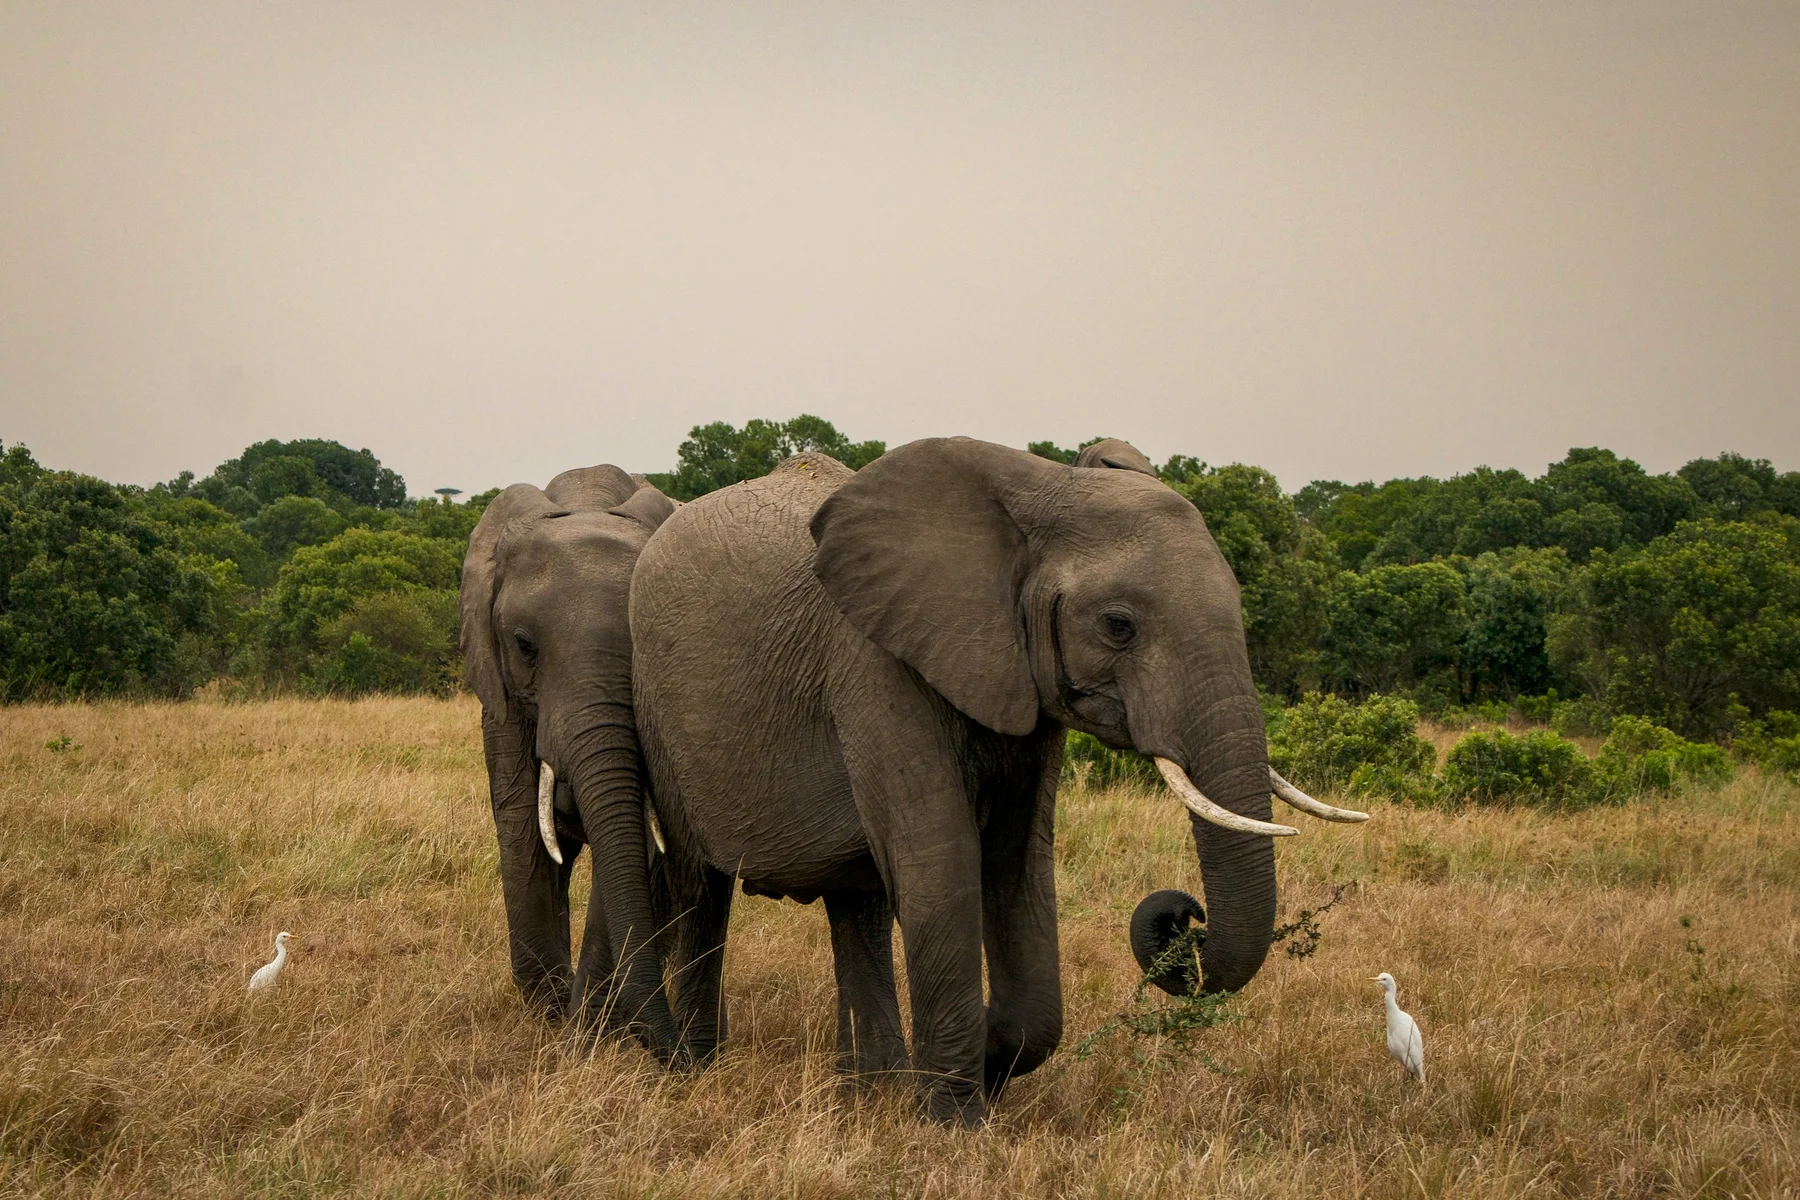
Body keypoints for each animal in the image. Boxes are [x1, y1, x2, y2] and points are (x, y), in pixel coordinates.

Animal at [458, 463, 681, 1059]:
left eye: (647, 645)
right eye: (524, 646)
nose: (680, 1056)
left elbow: (632, 842)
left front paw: (584, 1035)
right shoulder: (502, 698)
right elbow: (521, 828)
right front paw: (550, 1008)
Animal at [628, 436, 1364, 1124]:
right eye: (1118, 625)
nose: (1186, 915)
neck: (1037, 496)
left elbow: (1018, 861)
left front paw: (976, 1065)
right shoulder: (873, 659)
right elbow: (942, 858)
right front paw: (953, 1121)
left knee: (855, 904)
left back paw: (872, 1089)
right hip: (659, 712)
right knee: (700, 887)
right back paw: (697, 1070)